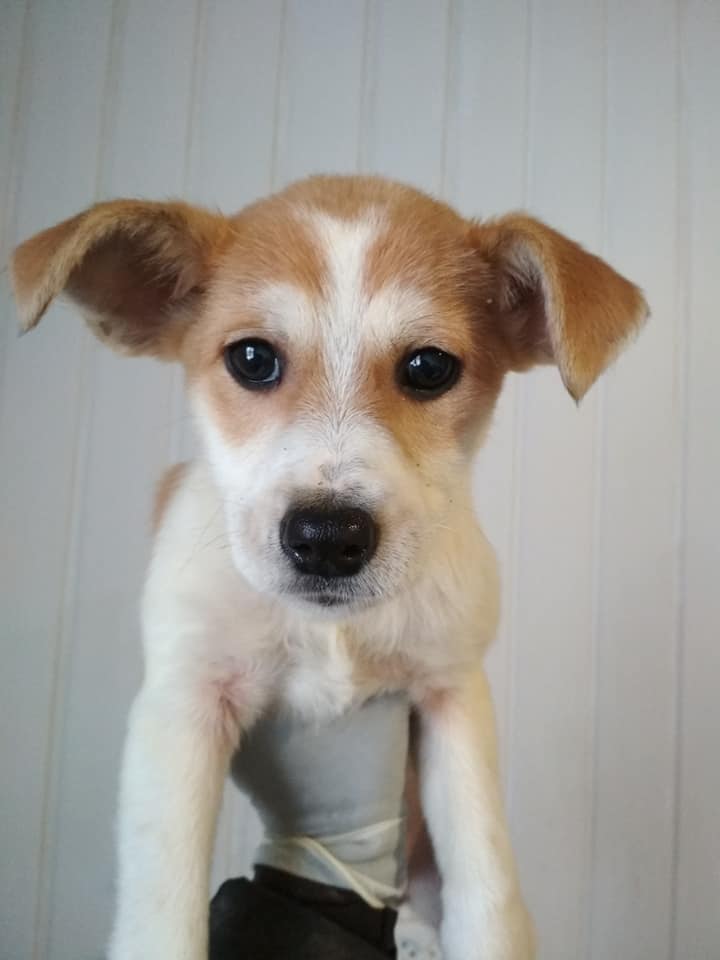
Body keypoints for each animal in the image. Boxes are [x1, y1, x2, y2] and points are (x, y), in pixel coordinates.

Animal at [12, 175, 647, 960]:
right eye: (252, 358)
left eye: (428, 368)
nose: (325, 538)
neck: (332, 629)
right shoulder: (182, 704)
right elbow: (161, 914)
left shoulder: (451, 696)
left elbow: (489, 892)